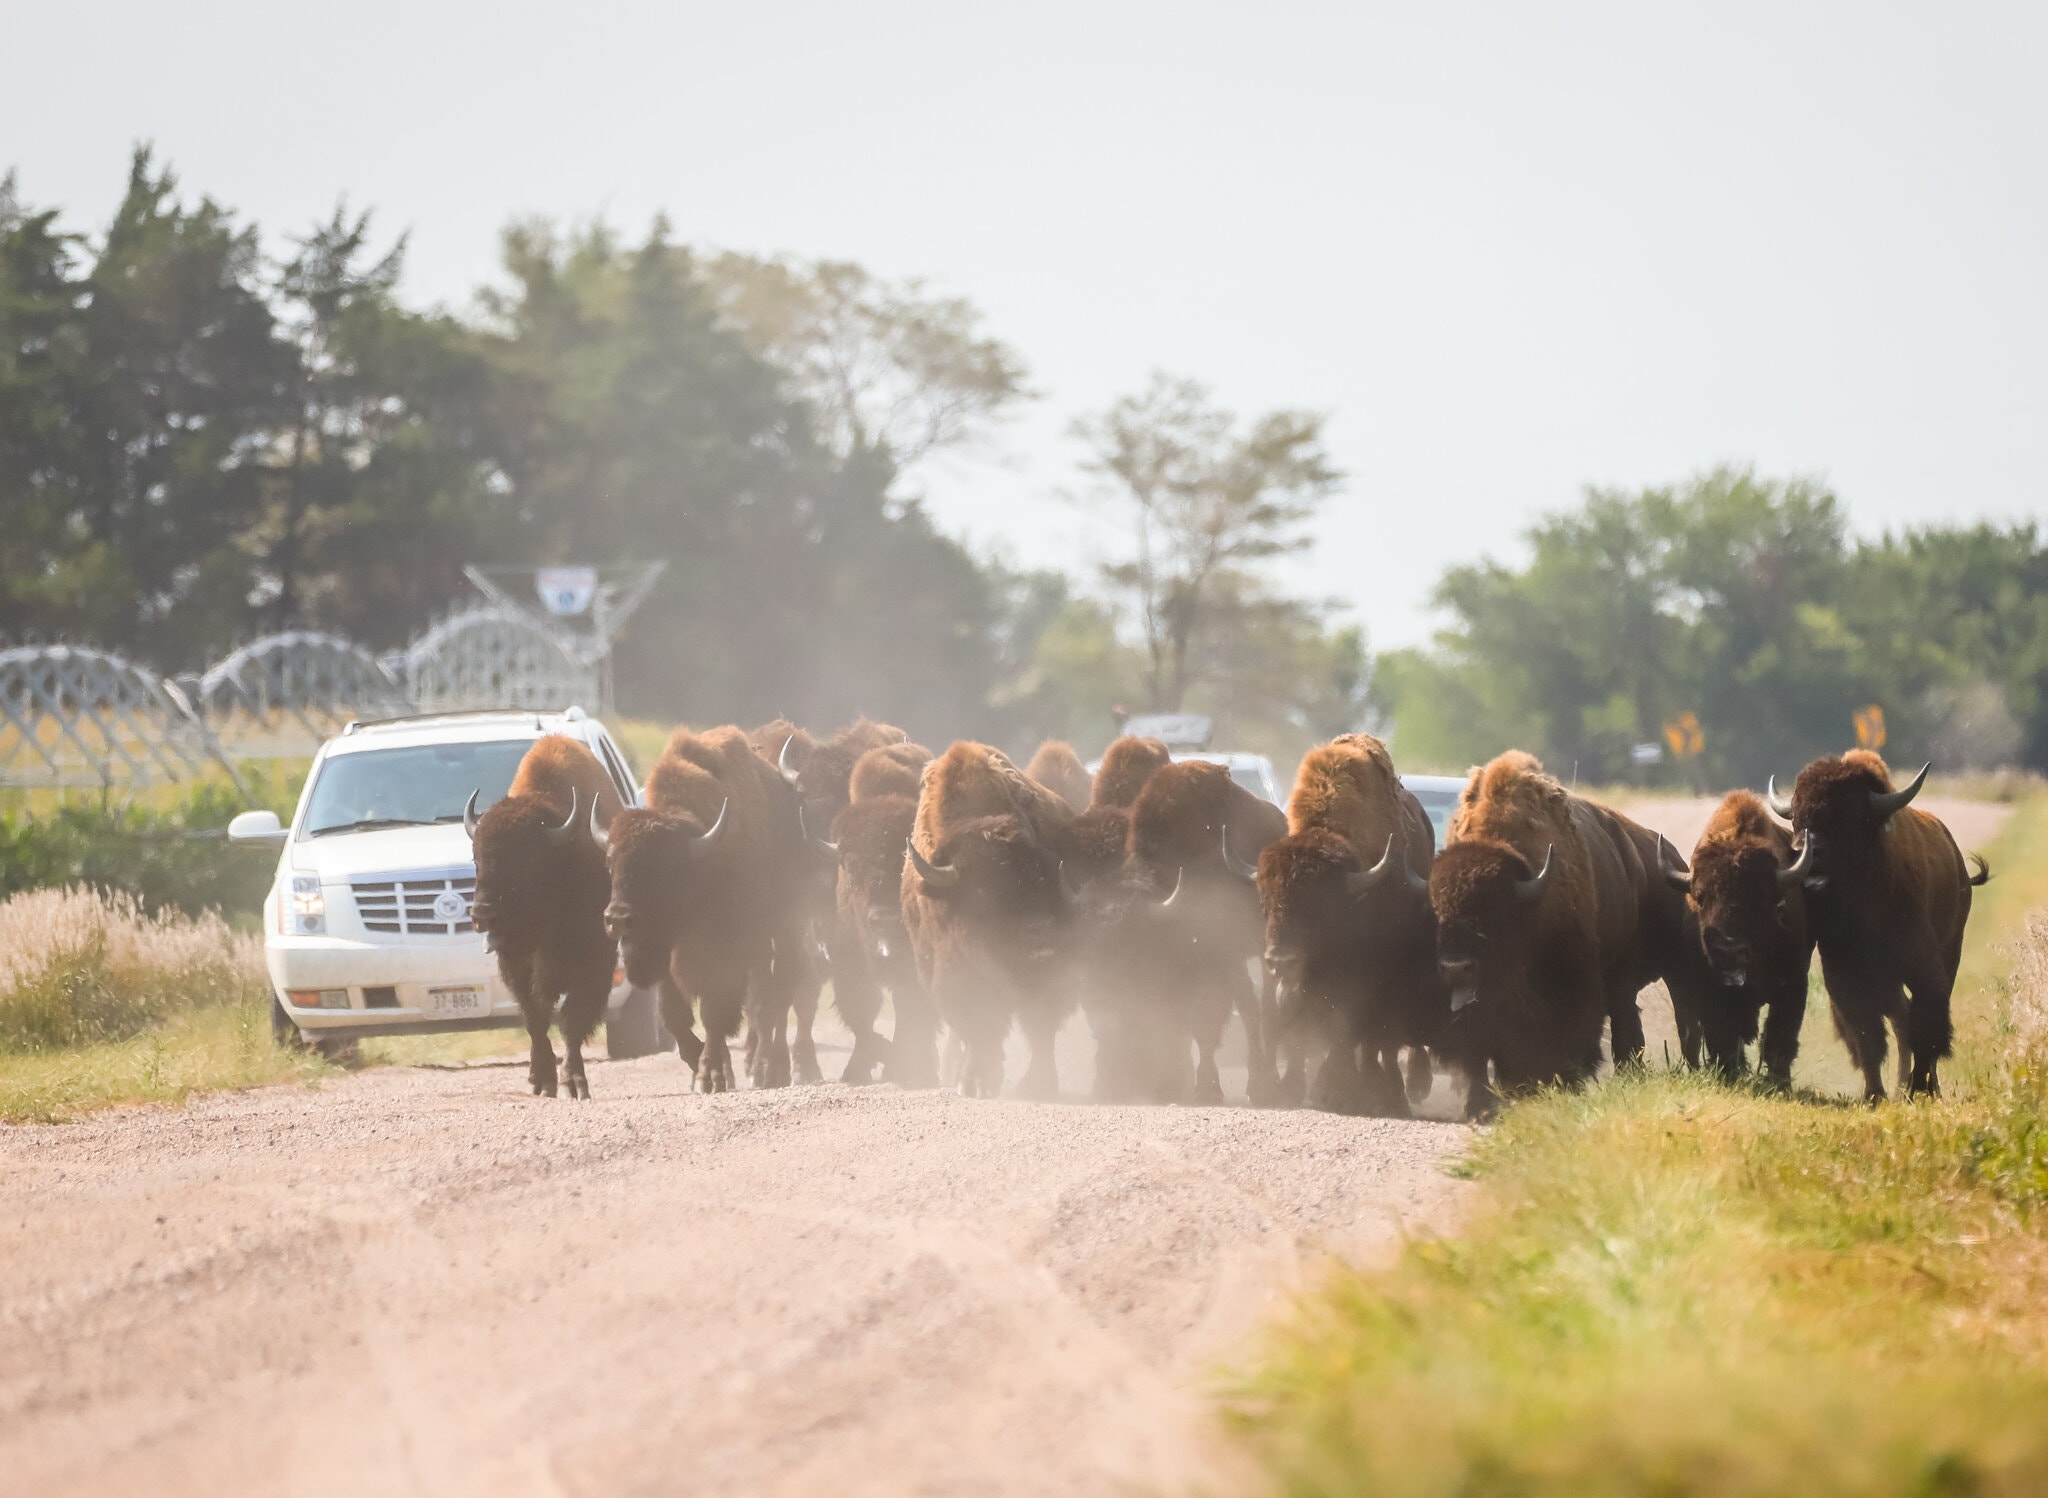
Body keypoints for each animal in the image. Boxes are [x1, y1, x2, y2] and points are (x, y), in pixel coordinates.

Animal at [466, 735, 624, 1099]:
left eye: (525, 861)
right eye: (476, 858)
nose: (481, 913)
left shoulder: (594, 962)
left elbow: (572, 1020)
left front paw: (574, 1083)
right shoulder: (515, 964)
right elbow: (535, 1017)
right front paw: (541, 1080)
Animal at [1769, 751, 1988, 1099]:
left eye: (1851, 815)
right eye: (1797, 818)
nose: (1807, 853)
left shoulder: (1924, 969)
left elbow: (1926, 1028)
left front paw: (1919, 1088)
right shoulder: (1845, 977)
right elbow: (1867, 1036)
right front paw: (1875, 1095)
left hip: (1950, 951)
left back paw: (1926, 1088)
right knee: (1900, 1021)